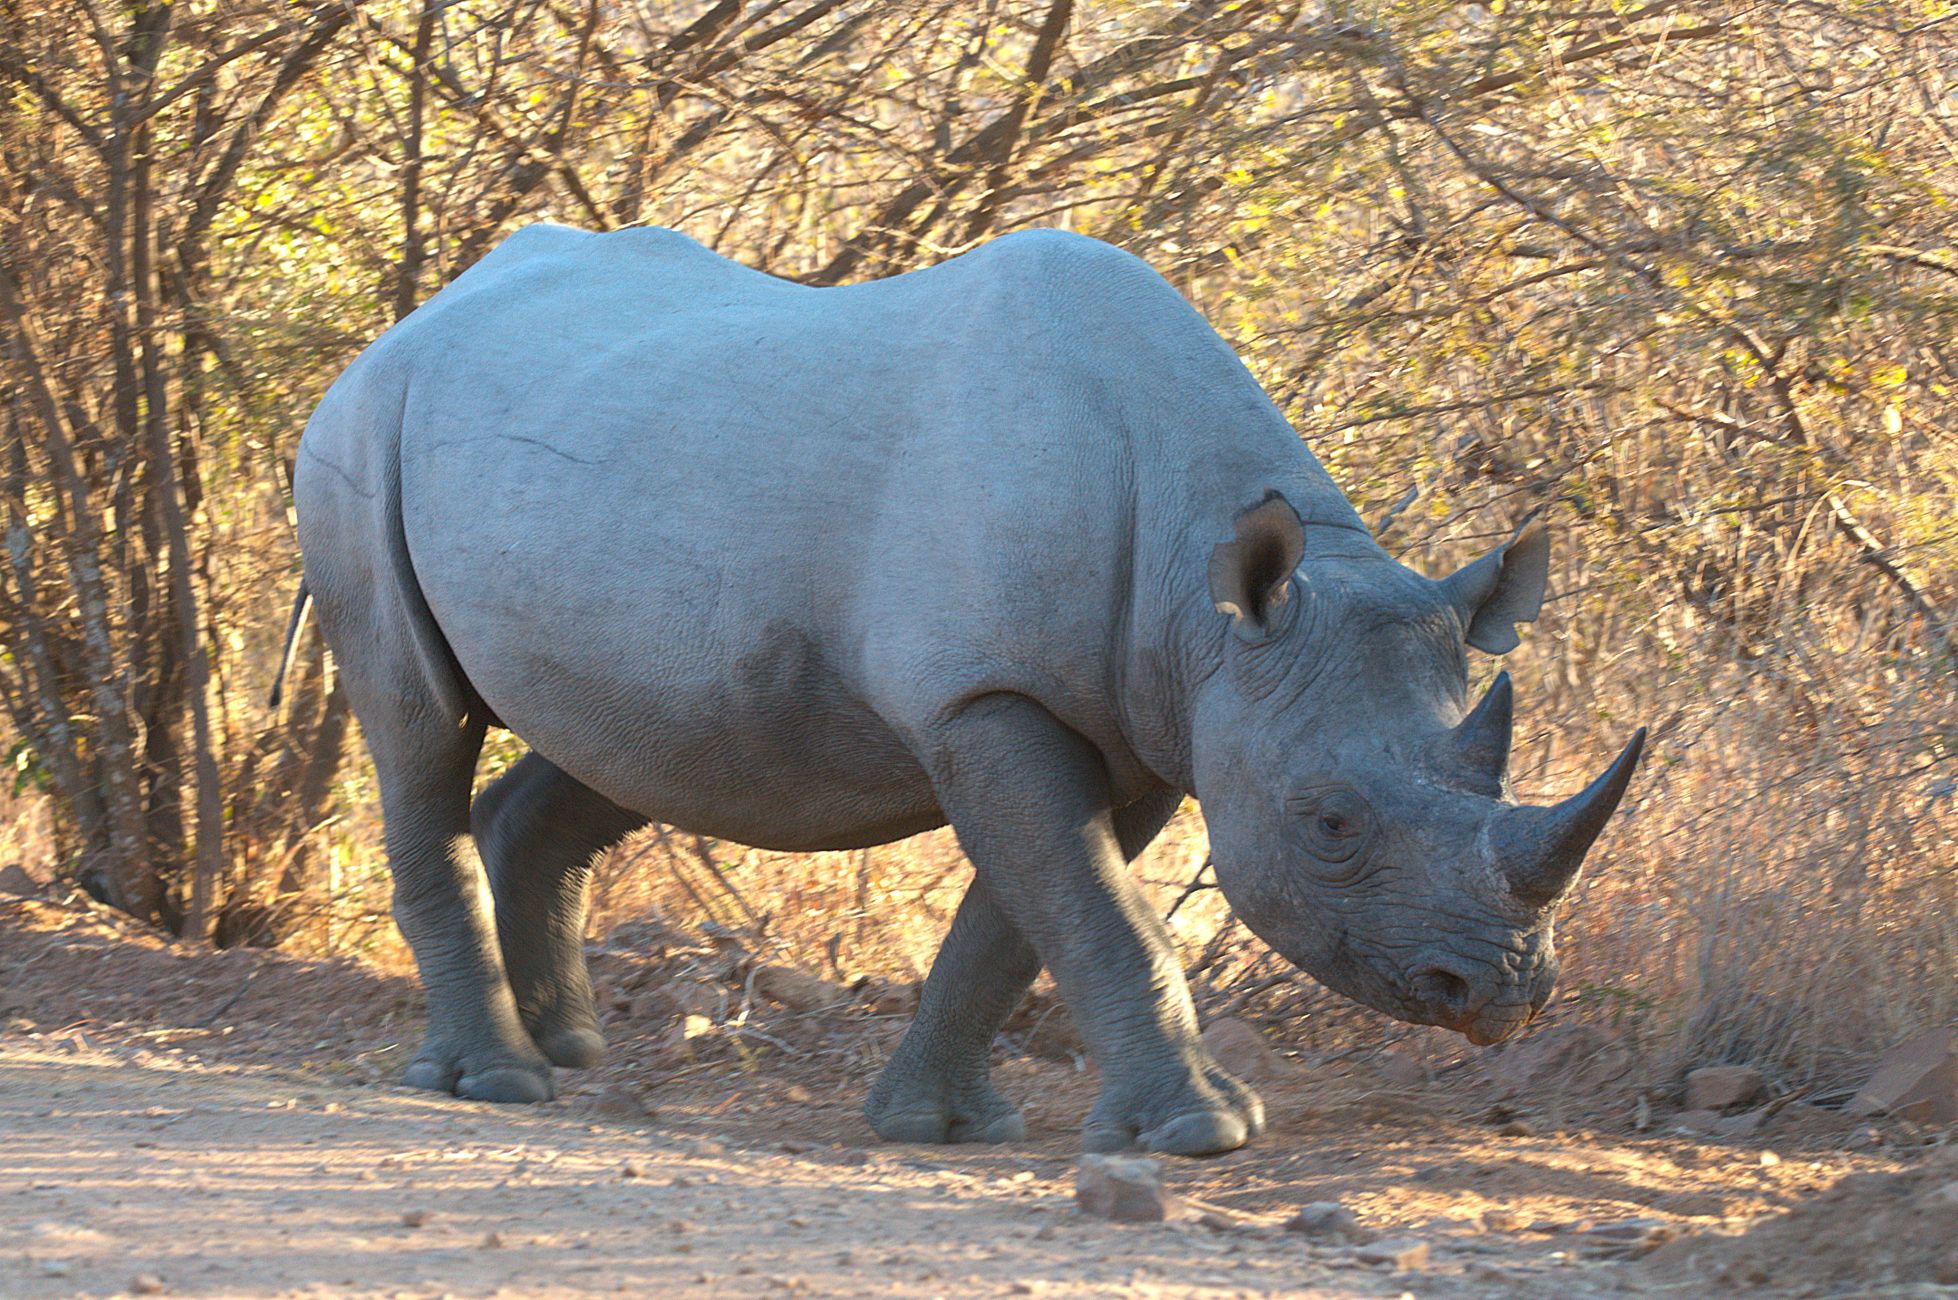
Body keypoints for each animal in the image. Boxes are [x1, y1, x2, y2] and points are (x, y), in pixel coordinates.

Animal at [289, 224, 1643, 1155]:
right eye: (1330, 823)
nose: (1502, 992)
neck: (1211, 602)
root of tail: (405, 326)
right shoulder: (990, 699)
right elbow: (1096, 911)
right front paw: (1204, 1132)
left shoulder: (1139, 716)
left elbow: (1025, 916)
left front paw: (936, 1125)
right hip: (357, 439)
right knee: (418, 722)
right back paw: (497, 1079)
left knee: (632, 740)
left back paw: (569, 1051)